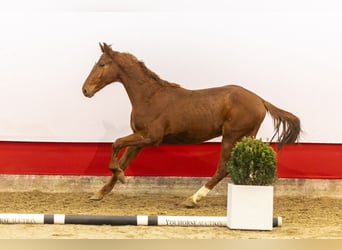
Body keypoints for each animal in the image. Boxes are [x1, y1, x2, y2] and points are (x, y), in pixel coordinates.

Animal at [81, 42, 300, 207]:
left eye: (101, 64)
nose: (85, 90)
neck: (149, 97)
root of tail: (261, 100)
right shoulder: (140, 138)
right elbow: (124, 159)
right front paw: (100, 192)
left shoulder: (152, 137)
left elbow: (116, 143)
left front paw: (120, 175)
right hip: (245, 137)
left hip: (231, 135)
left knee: (223, 168)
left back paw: (193, 198)